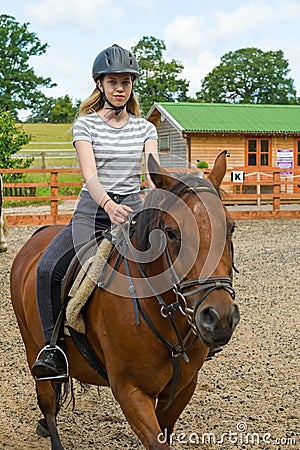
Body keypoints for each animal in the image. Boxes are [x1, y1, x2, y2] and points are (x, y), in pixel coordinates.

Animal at [9, 152, 239, 450]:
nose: (219, 318)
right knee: (47, 402)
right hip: (33, 348)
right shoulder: (131, 392)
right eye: (171, 232)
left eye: (231, 228)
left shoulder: (182, 390)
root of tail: (38, 235)